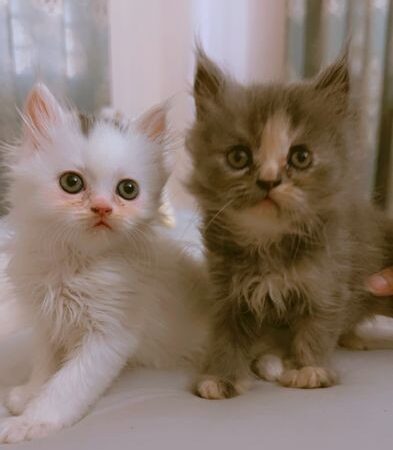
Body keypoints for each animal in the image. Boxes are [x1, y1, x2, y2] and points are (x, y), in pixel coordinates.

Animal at [0, 84, 207, 442]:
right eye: (71, 183)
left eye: (128, 190)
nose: (102, 208)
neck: (75, 263)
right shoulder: (47, 321)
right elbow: (44, 366)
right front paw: (28, 394)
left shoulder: (109, 336)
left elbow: (66, 387)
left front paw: (30, 422)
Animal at [185, 50, 392, 400]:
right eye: (238, 157)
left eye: (301, 157)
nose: (269, 181)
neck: (268, 243)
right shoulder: (228, 293)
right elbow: (227, 337)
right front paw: (221, 377)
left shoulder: (326, 283)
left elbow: (317, 329)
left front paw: (310, 370)